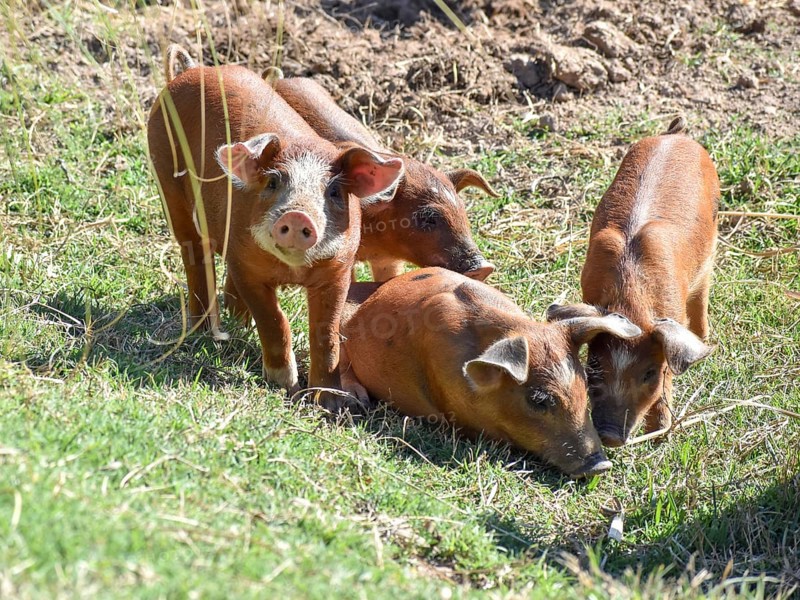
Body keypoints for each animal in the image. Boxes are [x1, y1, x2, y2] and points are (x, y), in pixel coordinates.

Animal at [147, 46, 404, 398]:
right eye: (272, 183)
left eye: (334, 191)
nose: (297, 214)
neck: (292, 270)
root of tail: (191, 69)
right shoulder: (246, 266)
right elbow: (273, 319)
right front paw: (285, 386)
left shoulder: (338, 270)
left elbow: (326, 332)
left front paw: (327, 398)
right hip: (166, 175)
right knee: (194, 255)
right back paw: (203, 330)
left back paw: (236, 324)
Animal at [548, 118, 718, 446]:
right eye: (594, 365)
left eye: (650, 373)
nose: (610, 435)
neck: (631, 302)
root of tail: (676, 135)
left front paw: (659, 437)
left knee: (702, 296)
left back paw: (704, 339)